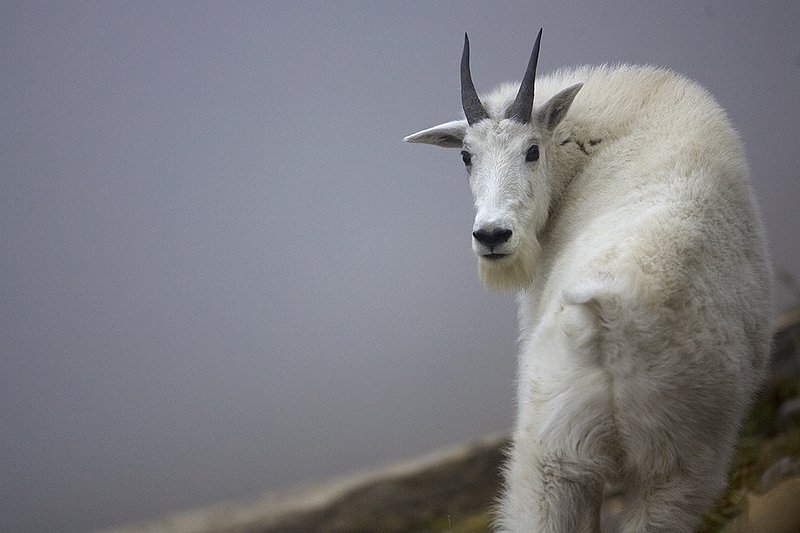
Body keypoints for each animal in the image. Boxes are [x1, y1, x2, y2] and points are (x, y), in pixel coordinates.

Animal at [404, 30, 772, 532]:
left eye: (532, 150)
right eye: (466, 156)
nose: (493, 236)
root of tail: (612, 315)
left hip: (549, 457)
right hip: (674, 467)